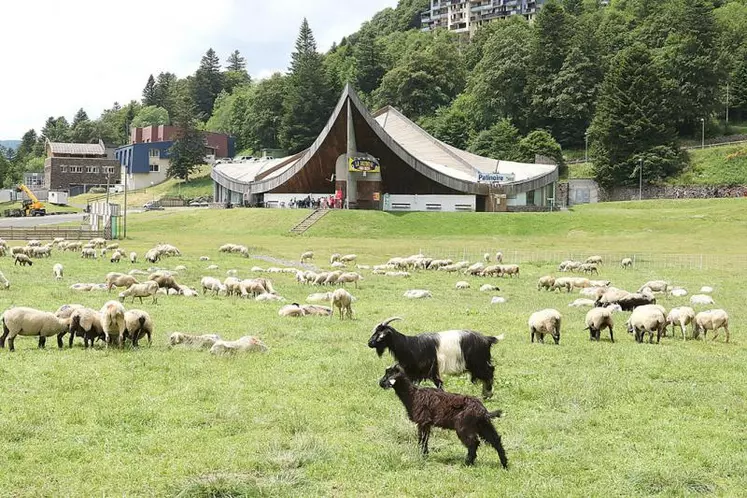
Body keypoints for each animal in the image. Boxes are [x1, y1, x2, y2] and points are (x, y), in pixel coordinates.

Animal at [366, 320, 506, 398]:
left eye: (380, 336)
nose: (369, 343)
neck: (410, 345)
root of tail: (488, 339)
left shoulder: (431, 368)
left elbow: (438, 384)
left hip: (479, 363)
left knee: (490, 372)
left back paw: (487, 395)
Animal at [380, 364, 508, 468]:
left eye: (389, 375)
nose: (380, 383)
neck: (412, 395)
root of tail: (483, 411)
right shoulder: (427, 423)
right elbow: (425, 440)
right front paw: (425, 455)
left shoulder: (423, 421)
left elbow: (422, 440)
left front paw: (422, 456)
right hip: (483, 425)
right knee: (496, 440)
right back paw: (504, 464)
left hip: (464, 425)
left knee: (474, 443)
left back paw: (467, 463)